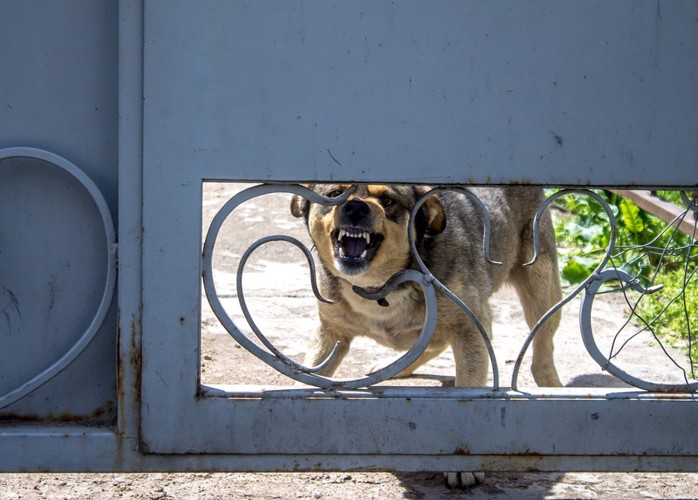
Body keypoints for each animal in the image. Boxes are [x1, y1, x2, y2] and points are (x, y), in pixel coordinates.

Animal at [288, 185, 560, 488]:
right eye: (335, 192)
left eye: (387, 200)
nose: (355, 207)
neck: (380, 287)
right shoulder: (331, 332)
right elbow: (308, 375)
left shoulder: (469, 328)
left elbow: (467, 389)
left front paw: (462, 466)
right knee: (432, 344)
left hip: (542, 287)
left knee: (542, 354)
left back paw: (554, 388)